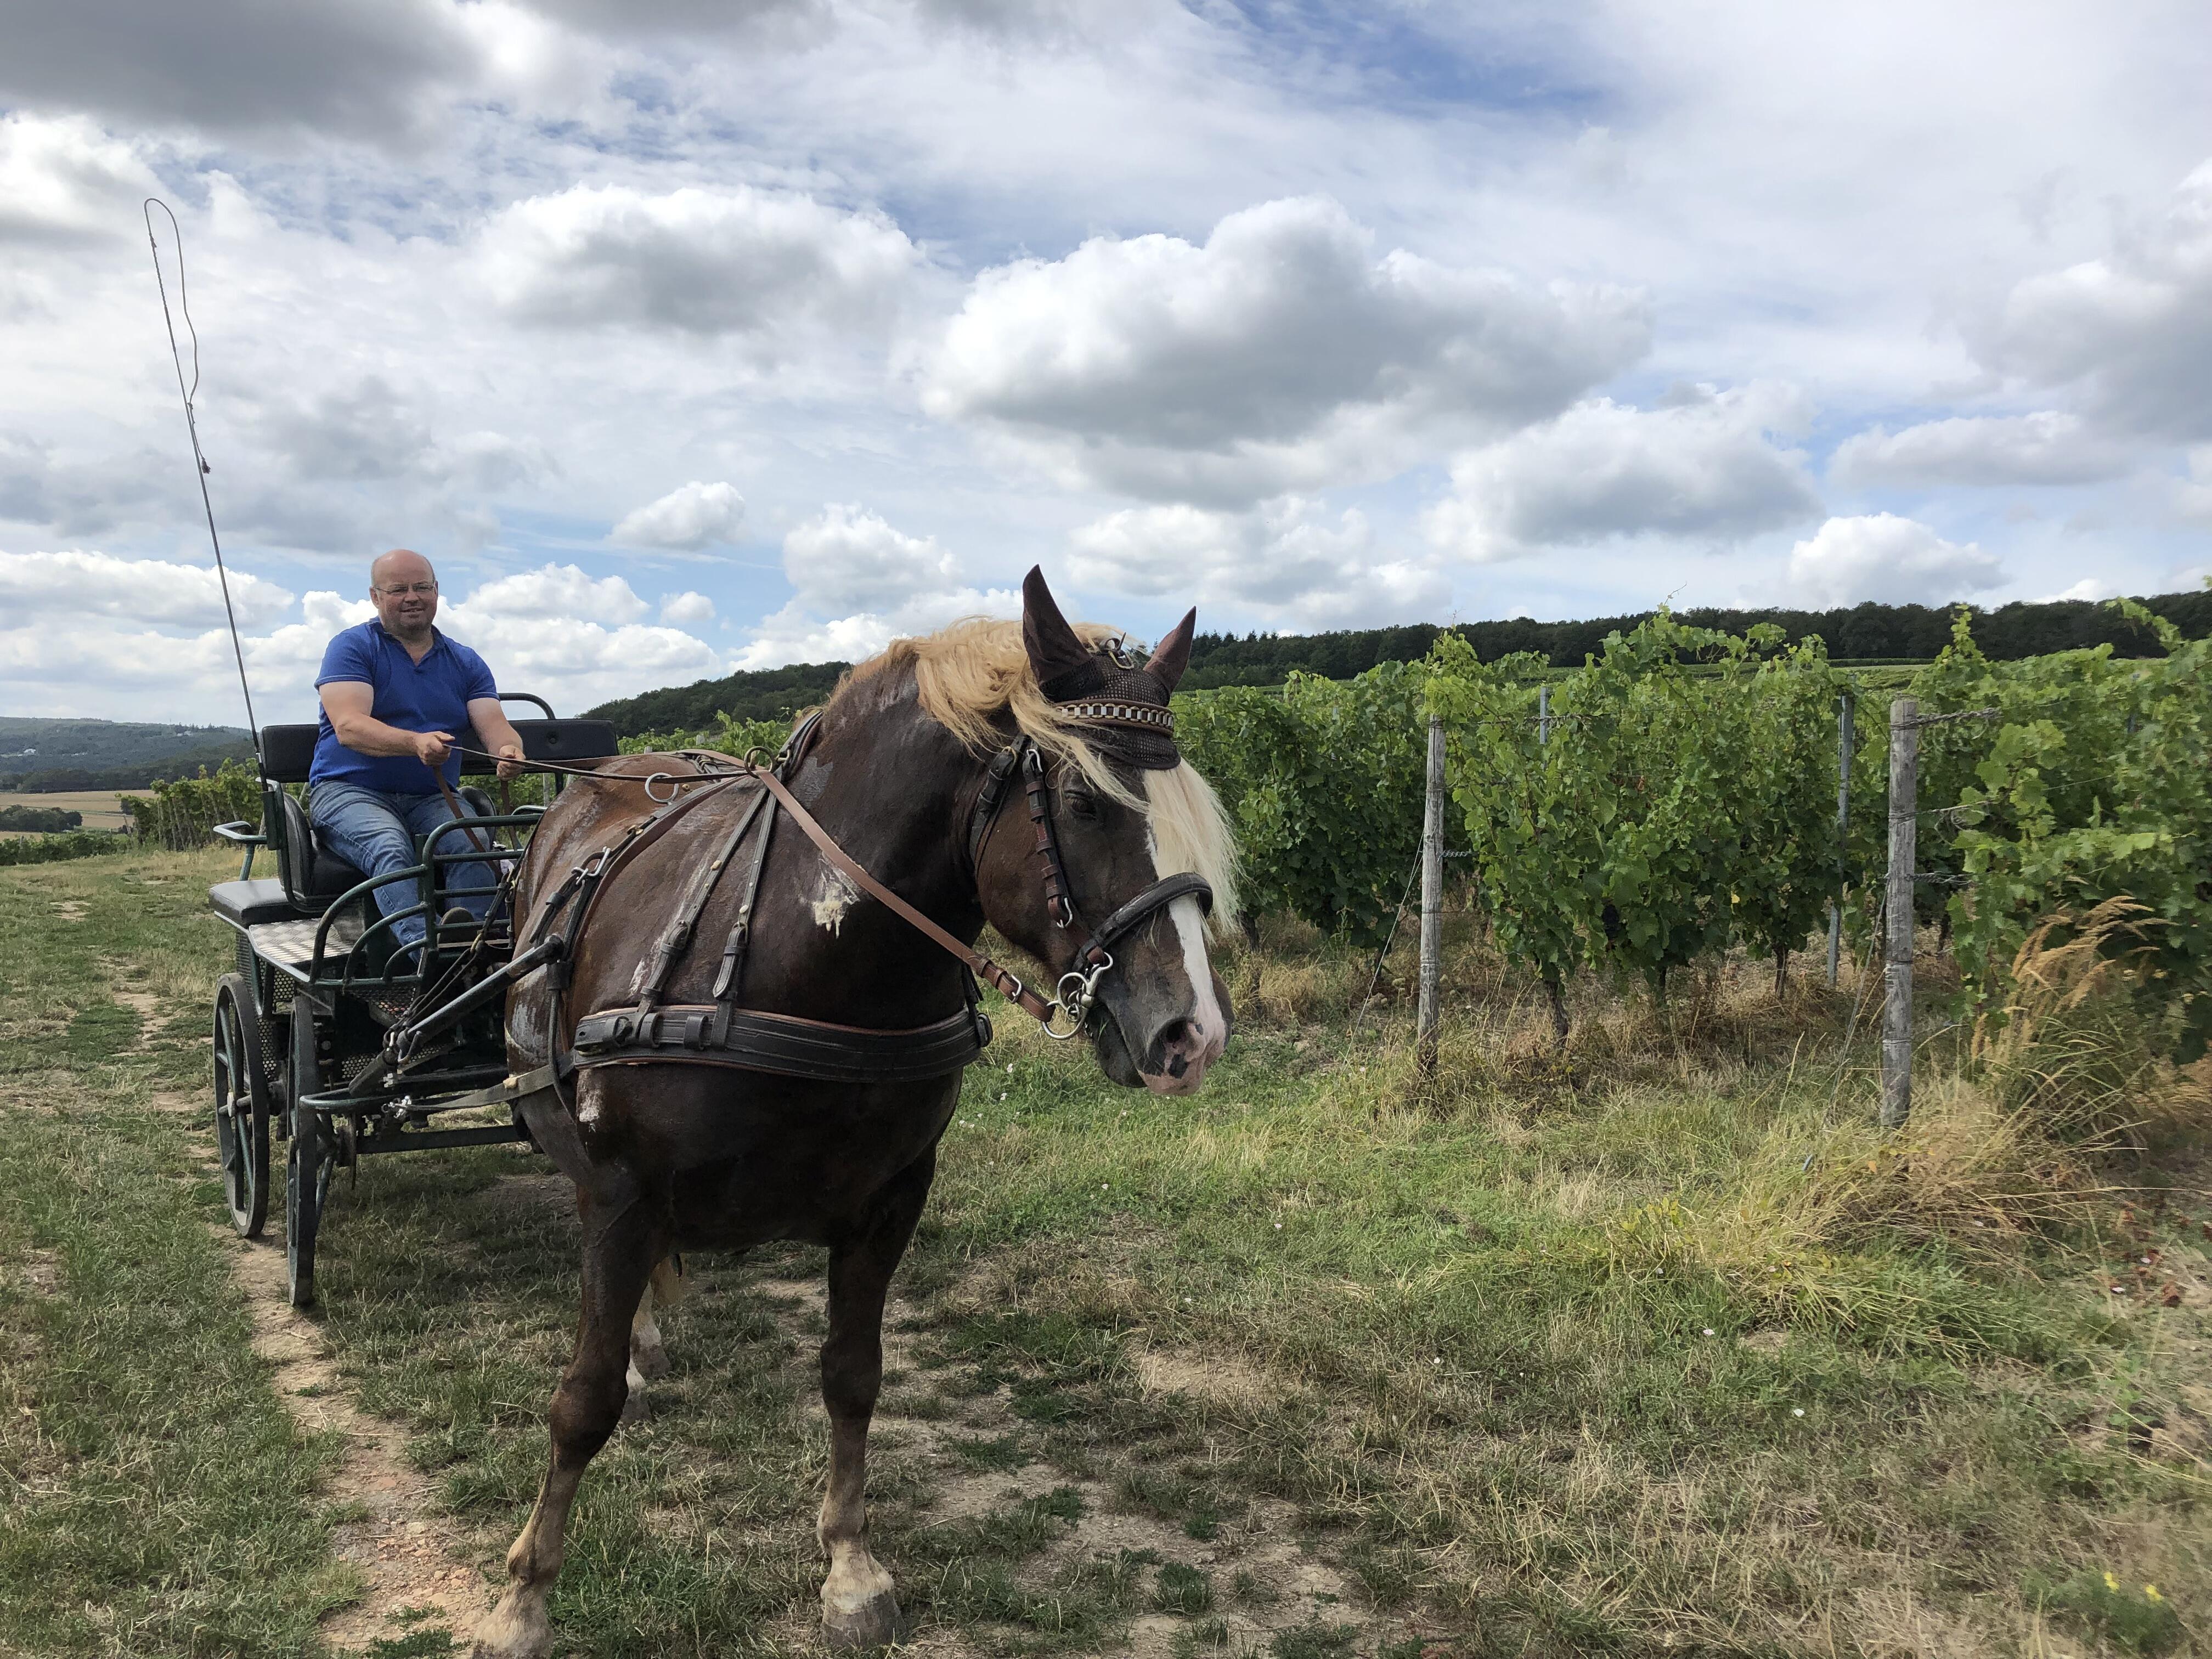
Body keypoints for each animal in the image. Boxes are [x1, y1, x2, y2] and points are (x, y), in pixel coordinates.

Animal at [473, 575, 1238, 1659]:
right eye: (1086, 802)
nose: (1192, 1034)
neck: (797, 953)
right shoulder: (622, 1192)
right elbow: (583, 1399)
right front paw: (524, 1599)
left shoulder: (890, 1198)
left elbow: (853, 1374)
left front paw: (849, 1568)